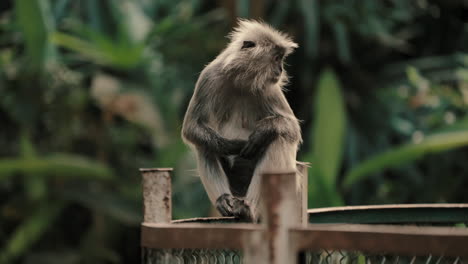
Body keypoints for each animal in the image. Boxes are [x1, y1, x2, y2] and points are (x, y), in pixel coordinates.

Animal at [181, 19, 302, 221]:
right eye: (277, 58)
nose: (280, 69)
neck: (241, 81)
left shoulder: (269, 87)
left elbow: (292, 129)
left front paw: (261, 133)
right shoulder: (209, 76)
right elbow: (191, 127)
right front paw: (233, 146)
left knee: (278, 138)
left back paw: (248, 207)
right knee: (204, 144)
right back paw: (224, 200)